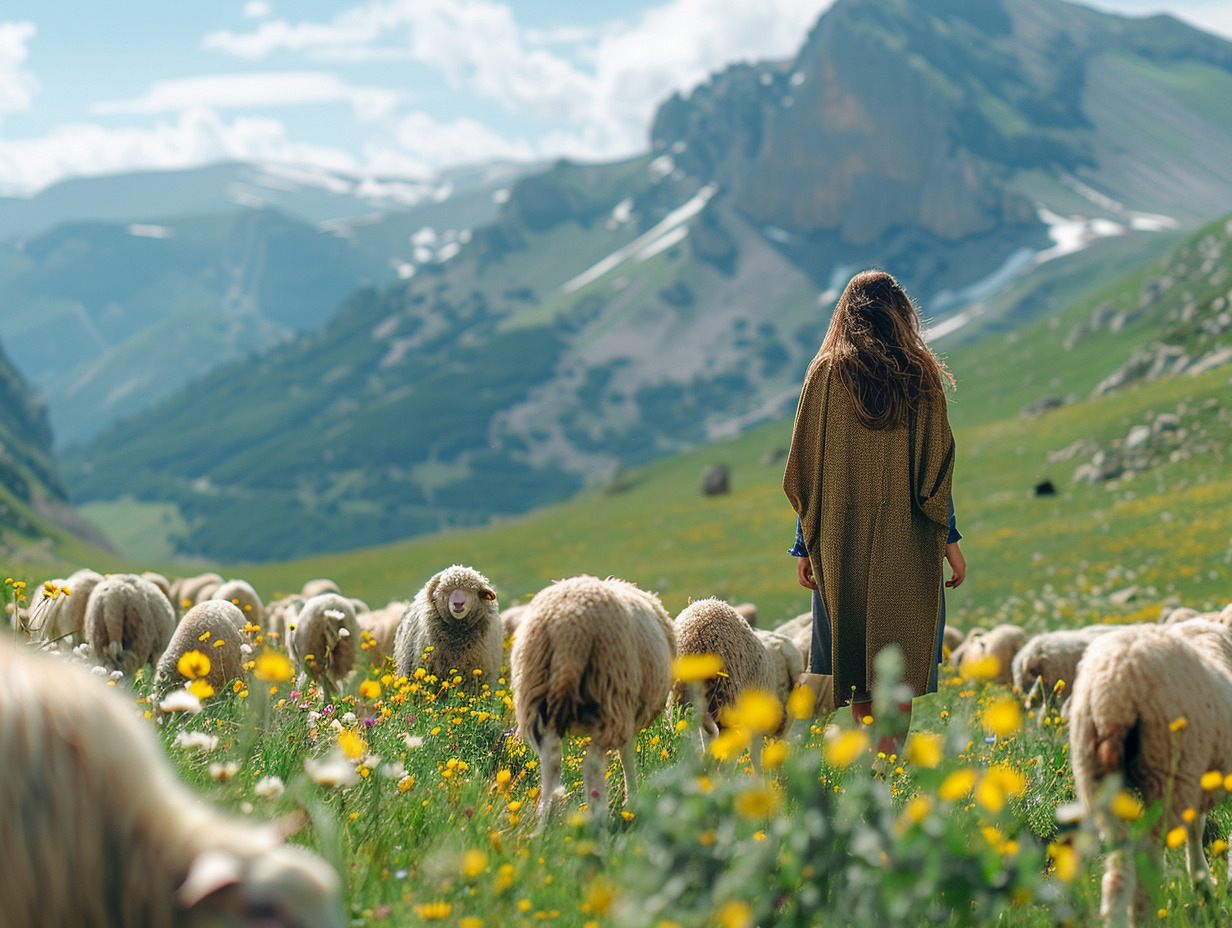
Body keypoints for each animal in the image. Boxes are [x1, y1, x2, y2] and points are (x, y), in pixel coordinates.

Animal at [514, 576, 680, 828]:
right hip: (612, 695)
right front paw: (631, 799)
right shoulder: (629, 712)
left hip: (536, 694)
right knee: (592, 763)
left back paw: (543, 821)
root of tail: (569, 628)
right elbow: (627, 754)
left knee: (550, 758)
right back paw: (598, 814)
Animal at [1064, 618, 1232, 921]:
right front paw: (1205, 882)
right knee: (1147, 865)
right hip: (1168, 771)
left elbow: (1195, 826)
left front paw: (1201, 882)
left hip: (1095, 780)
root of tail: (1113, 696)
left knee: (1118, 871)